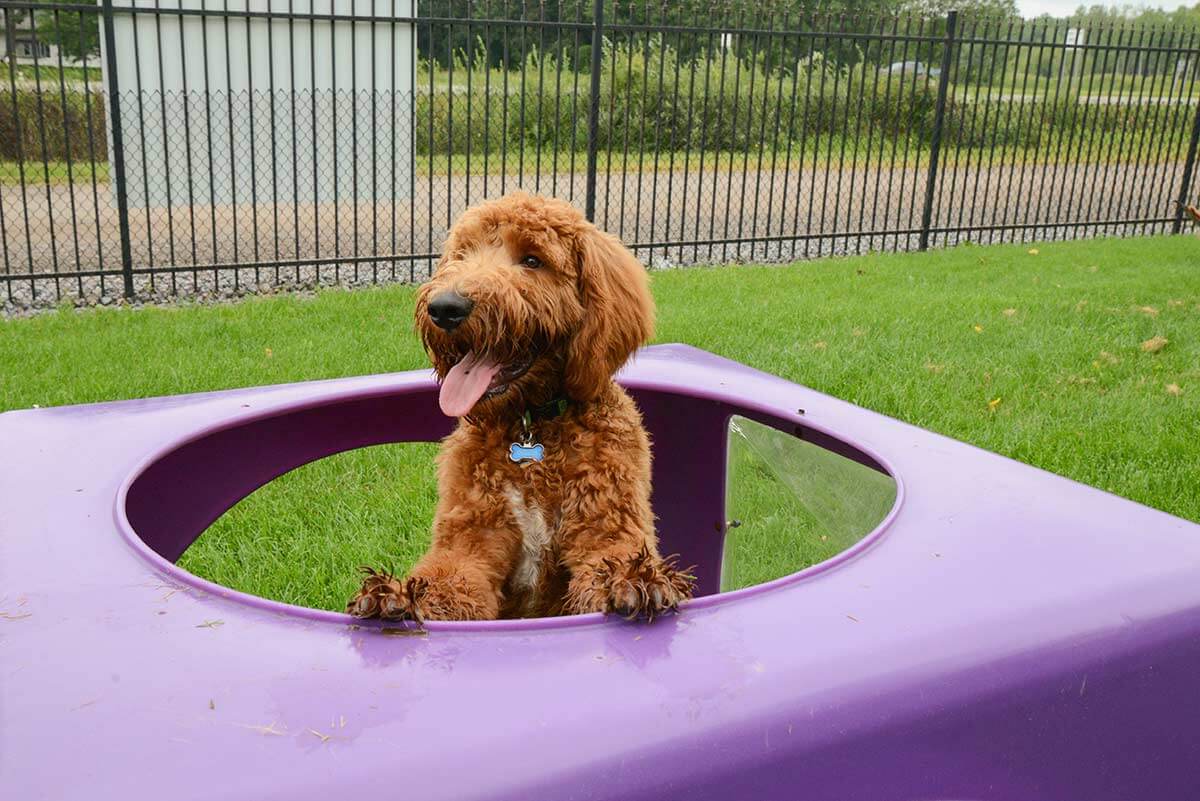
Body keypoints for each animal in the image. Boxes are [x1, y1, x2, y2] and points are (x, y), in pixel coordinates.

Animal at [348, 194, 696, 623]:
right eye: (463, 254)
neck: (531, 427)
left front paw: (634, 579)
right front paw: (399, 595)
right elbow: (446, 580)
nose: (444, 308)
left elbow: (613, 557)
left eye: (532, 260)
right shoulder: (470, 541)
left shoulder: (608, 527)